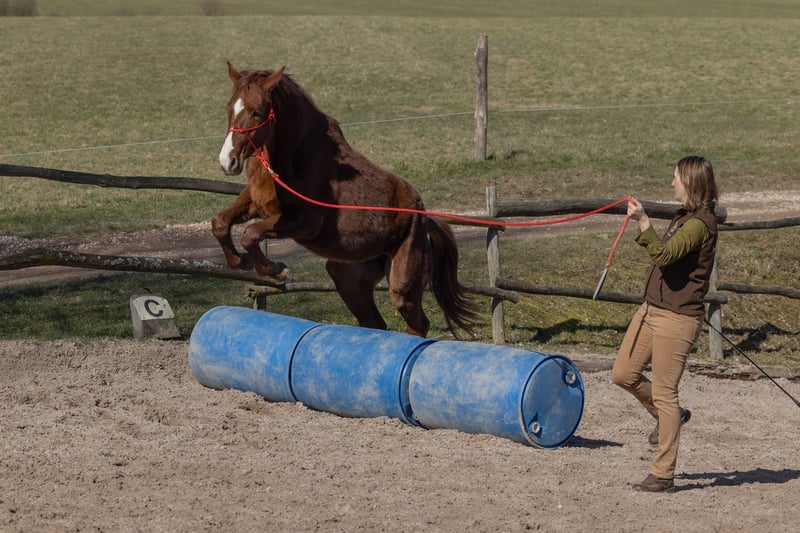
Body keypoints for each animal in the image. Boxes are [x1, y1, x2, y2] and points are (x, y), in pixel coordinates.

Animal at [214, 62, 477, 337]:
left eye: (256, 112)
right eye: (229, 108)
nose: (227, 161)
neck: (293, 157)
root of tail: (425, 218)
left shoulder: (306, 222)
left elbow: (250, 233)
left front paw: (277, 269)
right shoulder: (255, 202)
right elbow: (220, 223)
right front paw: (239, 261)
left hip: (403, 283)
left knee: (417, 322)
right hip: (347, 277)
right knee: (375, 322)